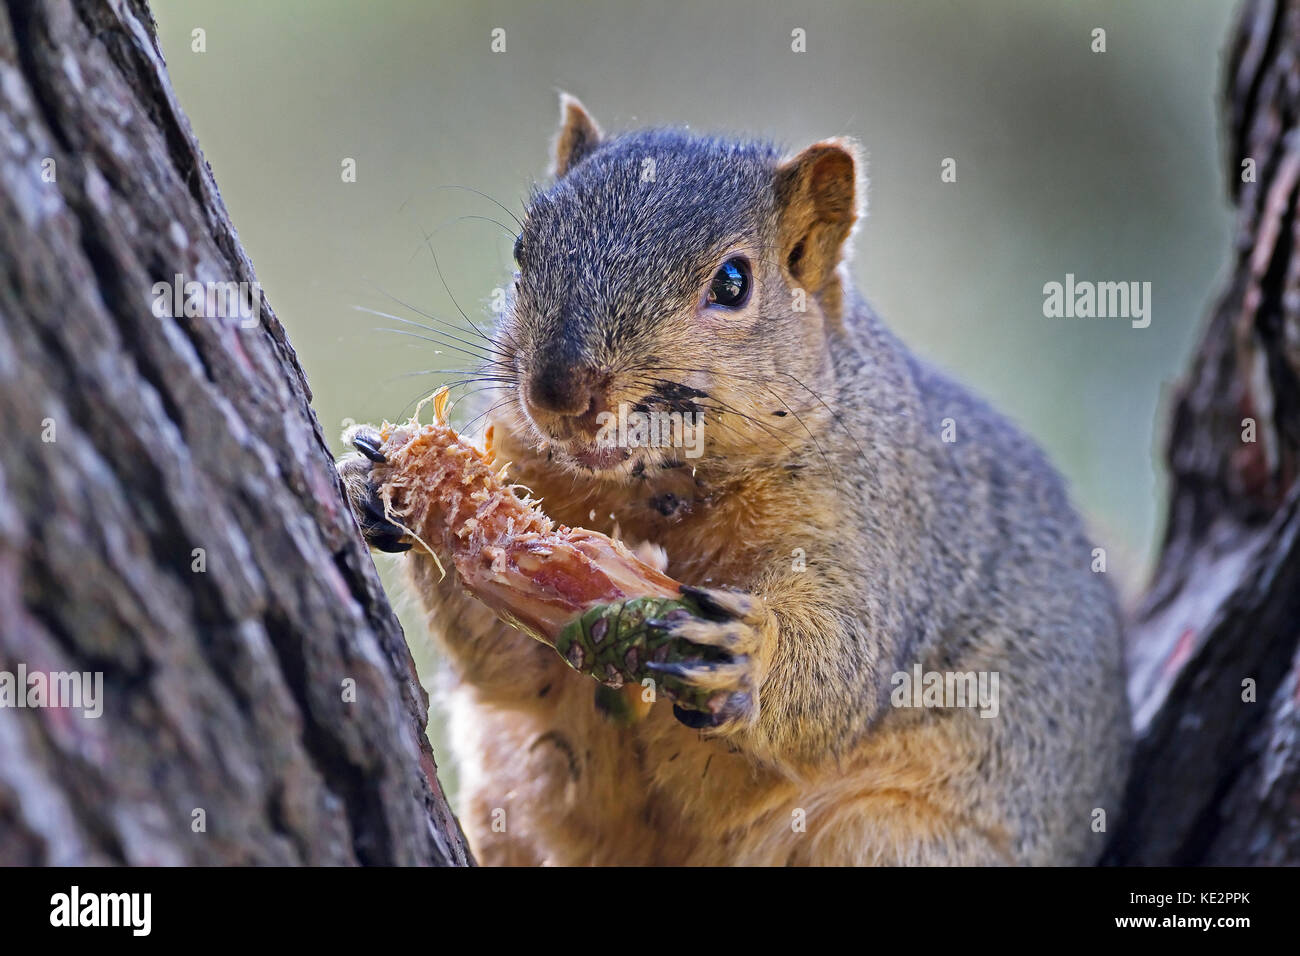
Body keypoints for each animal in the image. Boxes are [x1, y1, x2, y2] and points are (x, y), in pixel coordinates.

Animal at [340, 94, 1131, 865]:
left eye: (732, 283)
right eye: (521, 252)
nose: (558, 392)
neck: (650, 494)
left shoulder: (875, 527)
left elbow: (846, 660)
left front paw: (751, 655)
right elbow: (506, 663)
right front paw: (386, 482)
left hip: (892, 840)